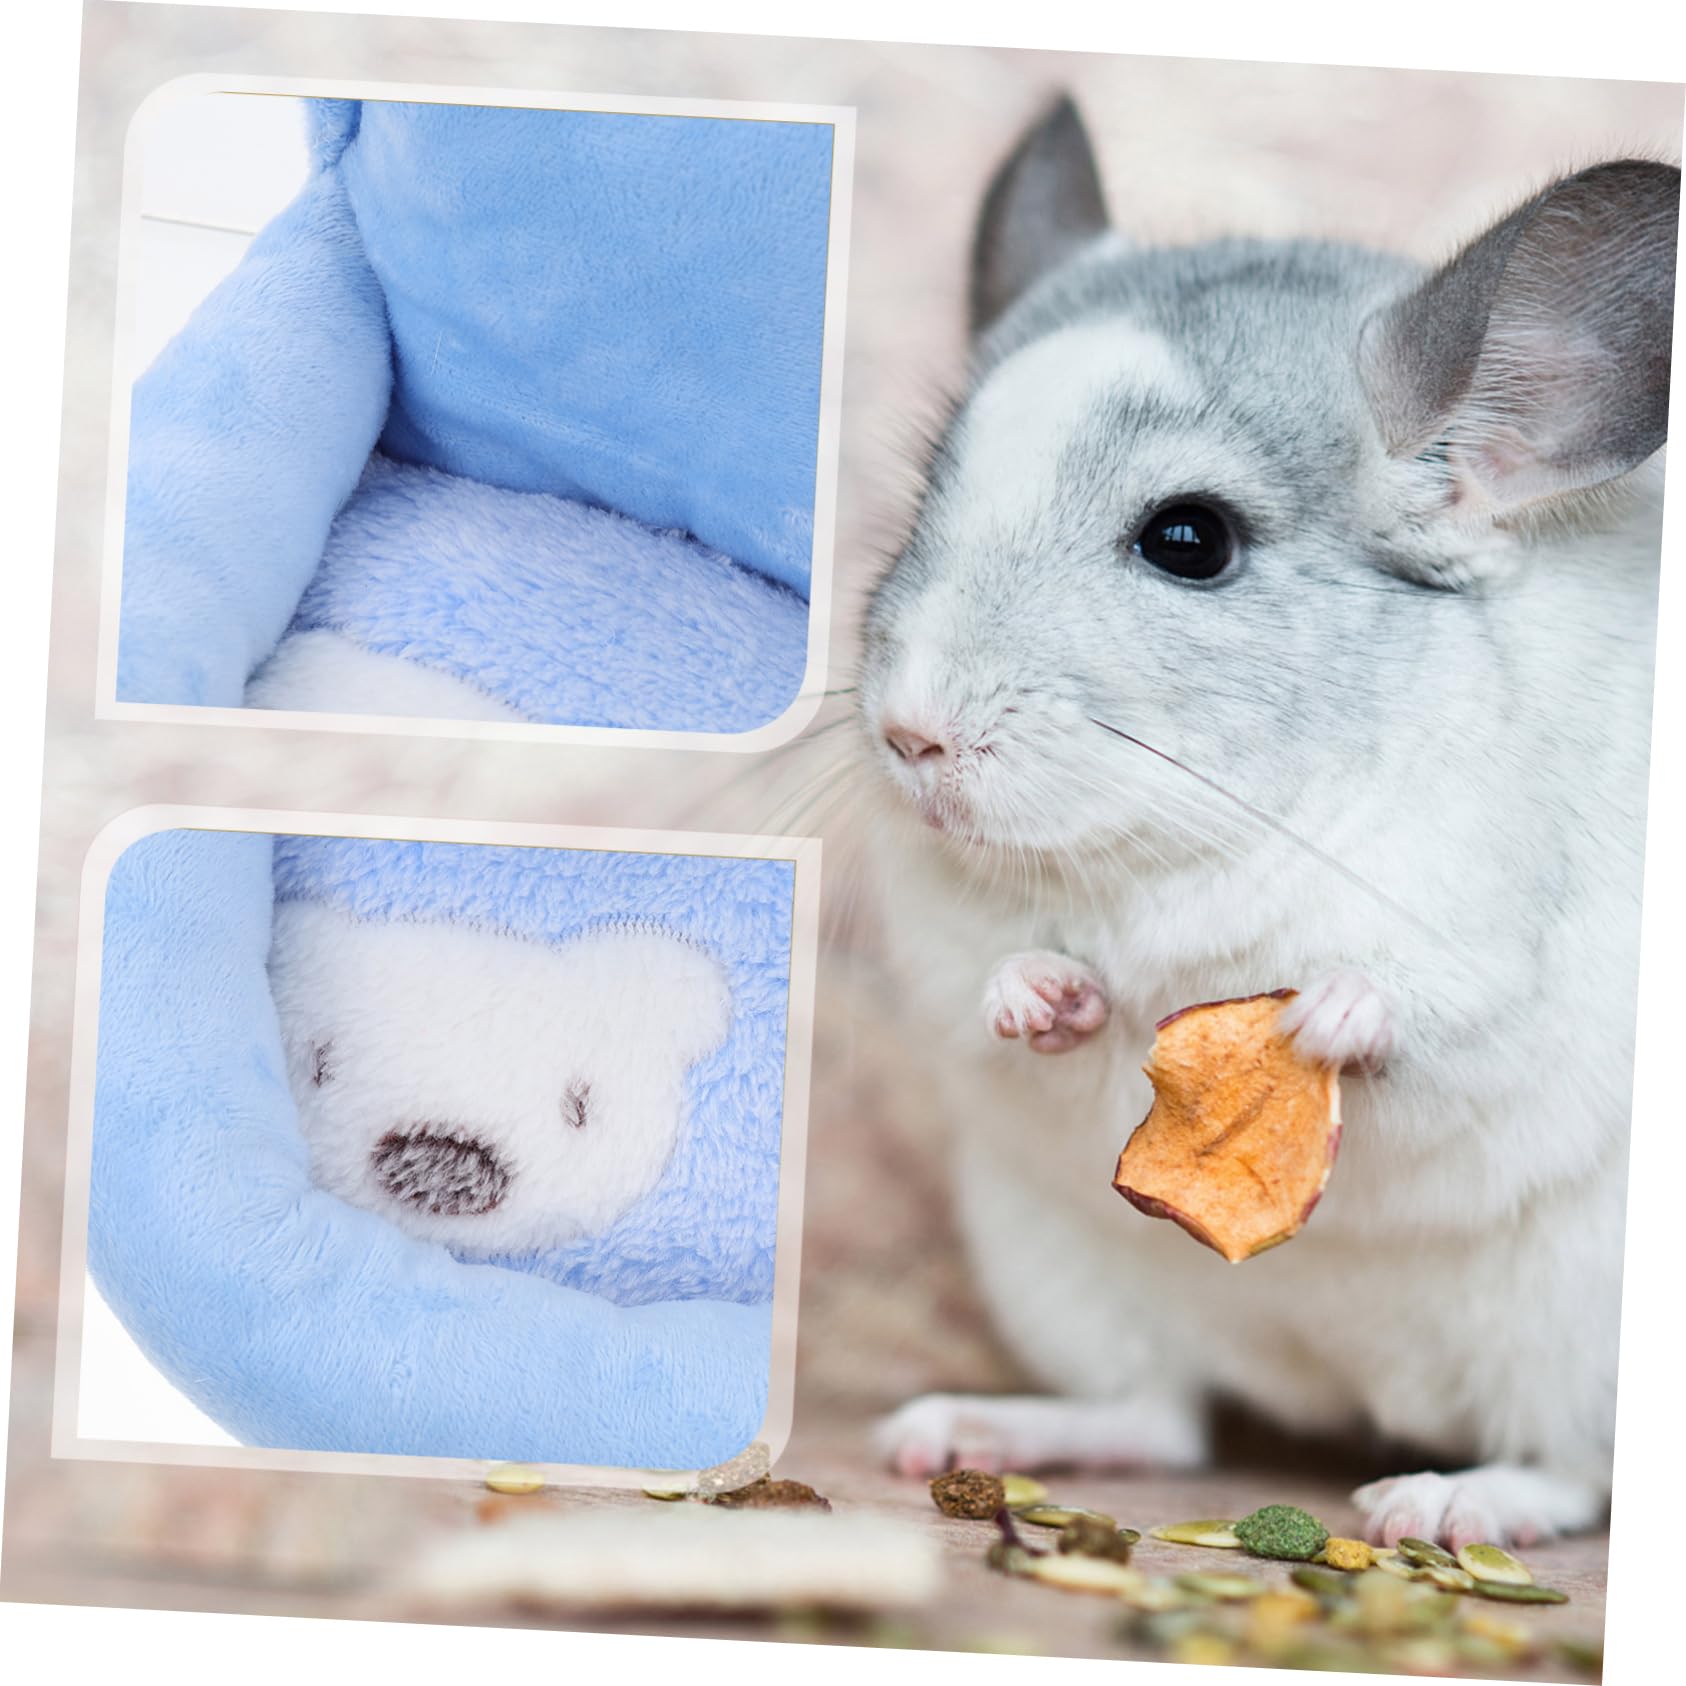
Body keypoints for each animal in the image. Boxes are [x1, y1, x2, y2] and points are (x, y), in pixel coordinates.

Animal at [859, 97, 1677, 1548]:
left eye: (1189, 539)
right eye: (927, 503)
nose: (909, 734)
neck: (1190, 846)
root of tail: (1355, 1392)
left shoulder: (1507, 972)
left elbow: (1440, 1023)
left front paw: (1334, 1012)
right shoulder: (941, 950)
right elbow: (993, 998)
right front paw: (1041, 995)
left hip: (1580, 1344)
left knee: (1565, 1469)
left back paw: (1441, 1503)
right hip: (1060, 1272)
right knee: (1161, 1419)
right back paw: (962, 1427)